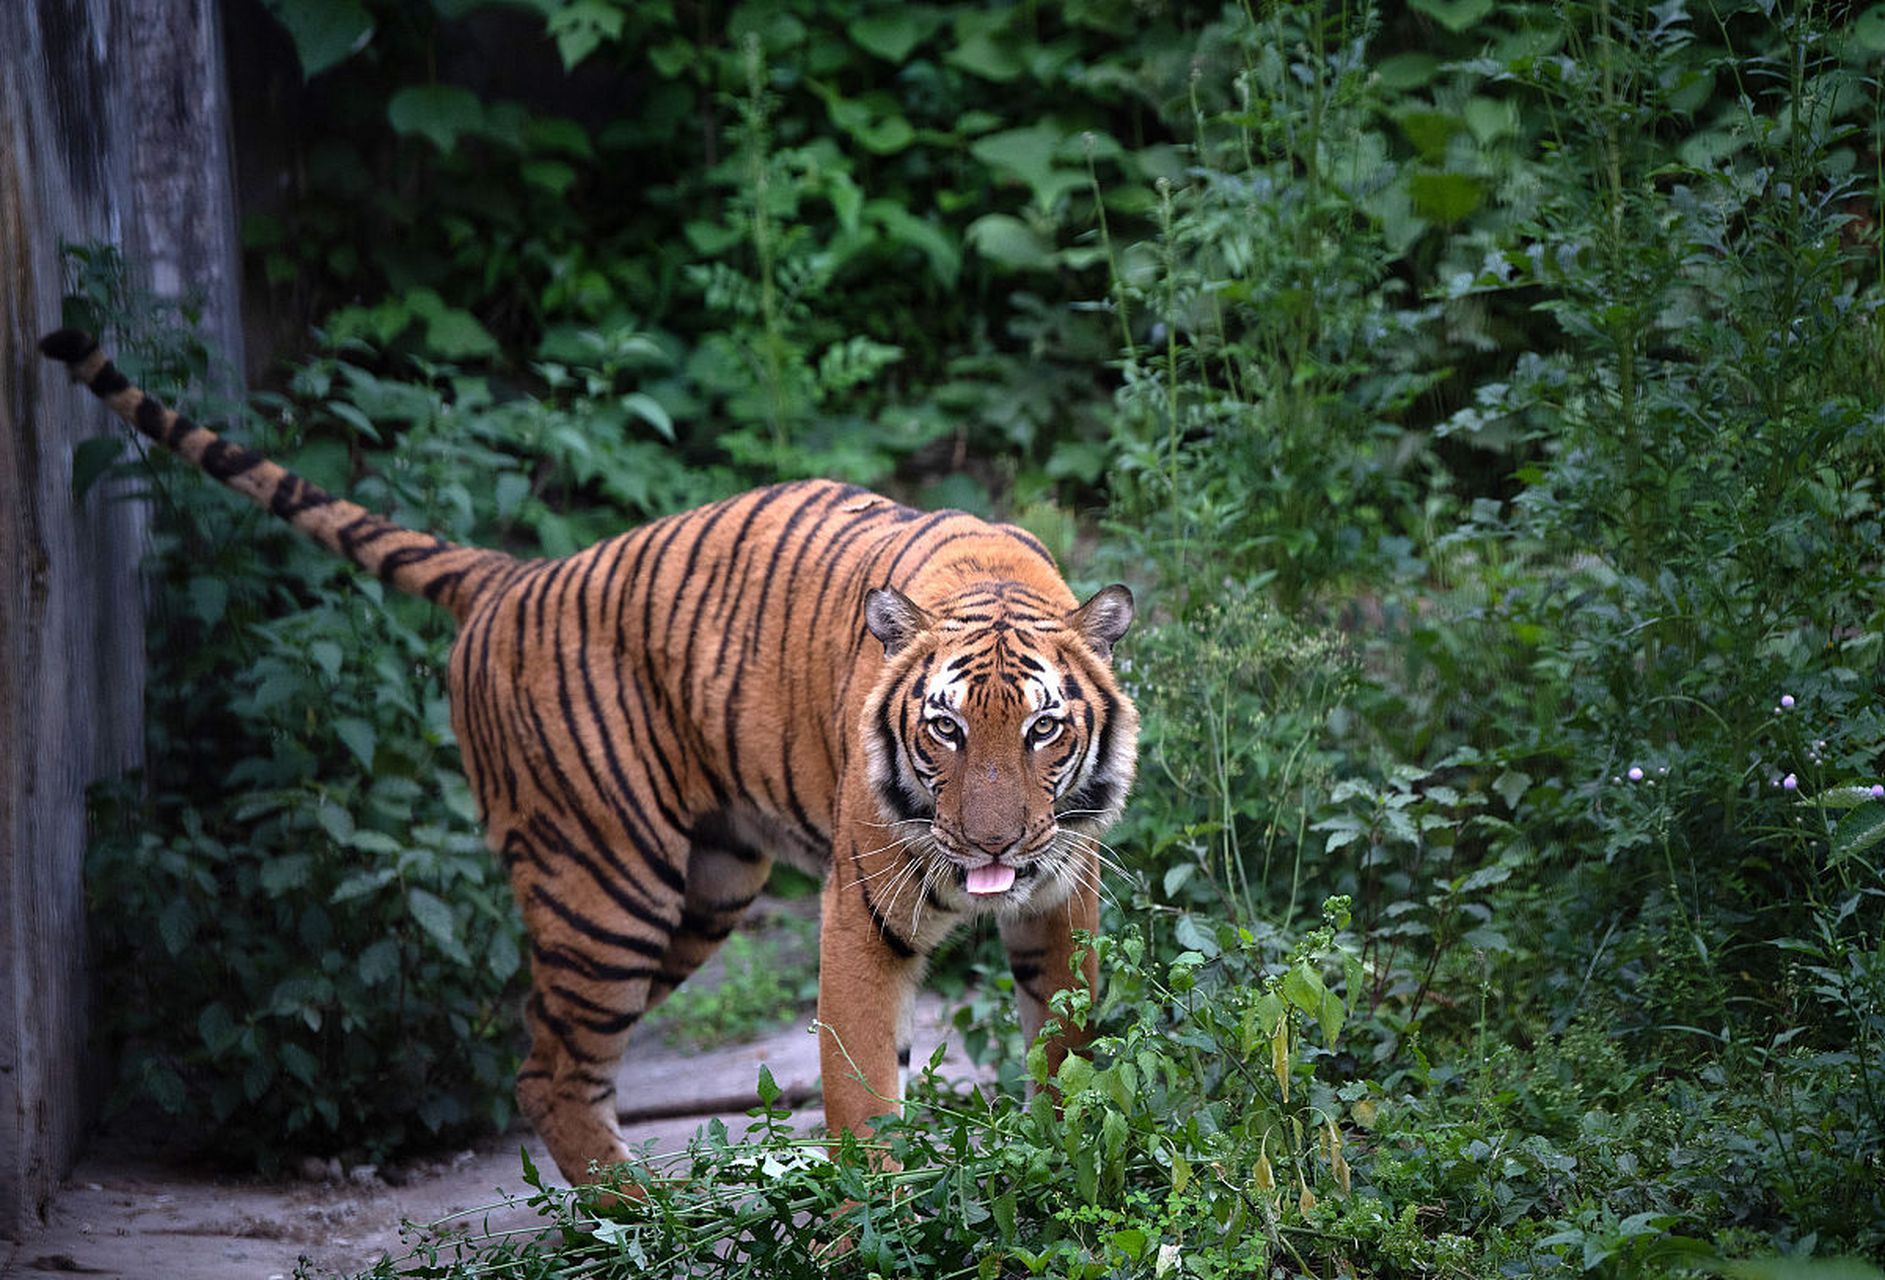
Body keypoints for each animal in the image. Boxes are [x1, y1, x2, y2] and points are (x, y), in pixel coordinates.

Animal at [40, 328, 1131, 1183]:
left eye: (1042, 729)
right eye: (944, 729)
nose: (991, 847)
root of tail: (509, 575)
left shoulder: (1062, 896)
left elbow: (1068, 1046)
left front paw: (1060, 1158)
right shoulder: (863, 913)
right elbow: (863, 1095)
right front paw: (873, 1226)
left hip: (703, 888)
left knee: (560, 1054)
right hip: (605, 885)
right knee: (548, 1072)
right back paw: (648, 1219)